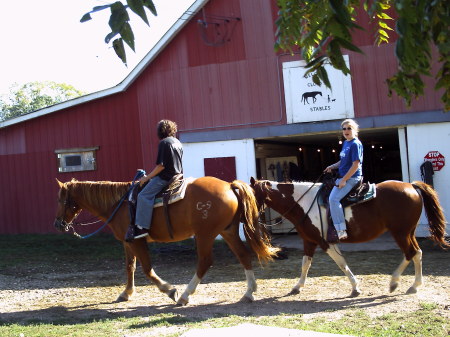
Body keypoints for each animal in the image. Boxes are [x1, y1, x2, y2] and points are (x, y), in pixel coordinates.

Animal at [52, 176, 278, 304]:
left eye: (61, 200)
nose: (58, 224)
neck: (120, 204)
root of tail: (230, 186)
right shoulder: (127, 242)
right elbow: (130, 267)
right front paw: (126, 293)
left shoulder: (137, 241)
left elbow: (147, 269)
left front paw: (169, 290)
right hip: (228, 231)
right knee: (243, 255)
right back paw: (249, 293)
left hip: (205, 235)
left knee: (205, 262)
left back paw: (185, 295)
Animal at [251, 177, 448, 296]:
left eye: (251, 194)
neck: (304, 203)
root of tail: (411, 186)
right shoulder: (309, 241)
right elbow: (305, 264)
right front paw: (297, 287)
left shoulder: (325, 242)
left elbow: (341, 263)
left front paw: (355, 288)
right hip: (408, 232)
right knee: (417, 253)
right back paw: (413, 285)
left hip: (400, 233)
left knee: (411, 253)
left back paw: (396, 283)